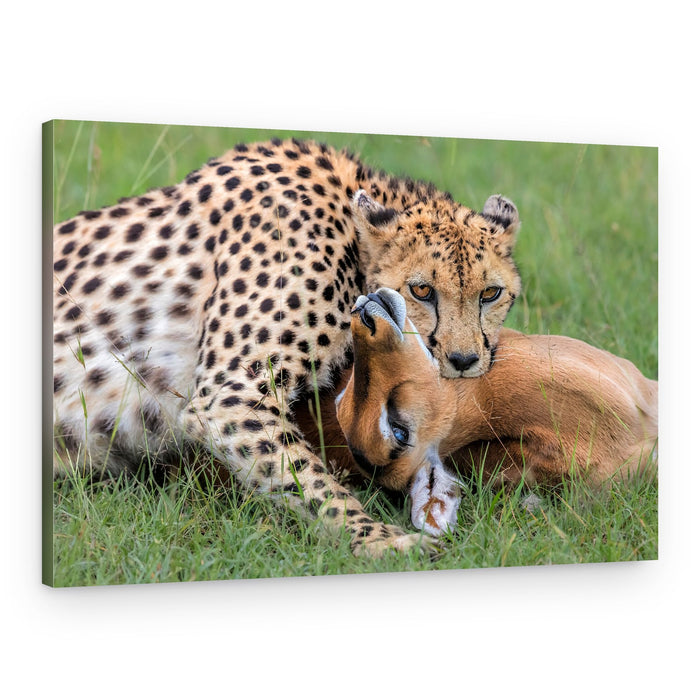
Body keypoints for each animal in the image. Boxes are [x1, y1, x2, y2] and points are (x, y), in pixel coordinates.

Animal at [52, 137, 521, 556]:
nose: (464, 360)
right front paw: (381, 540)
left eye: (490, 293)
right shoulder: (228, 397)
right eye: (422, 290)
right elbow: (310, 479)